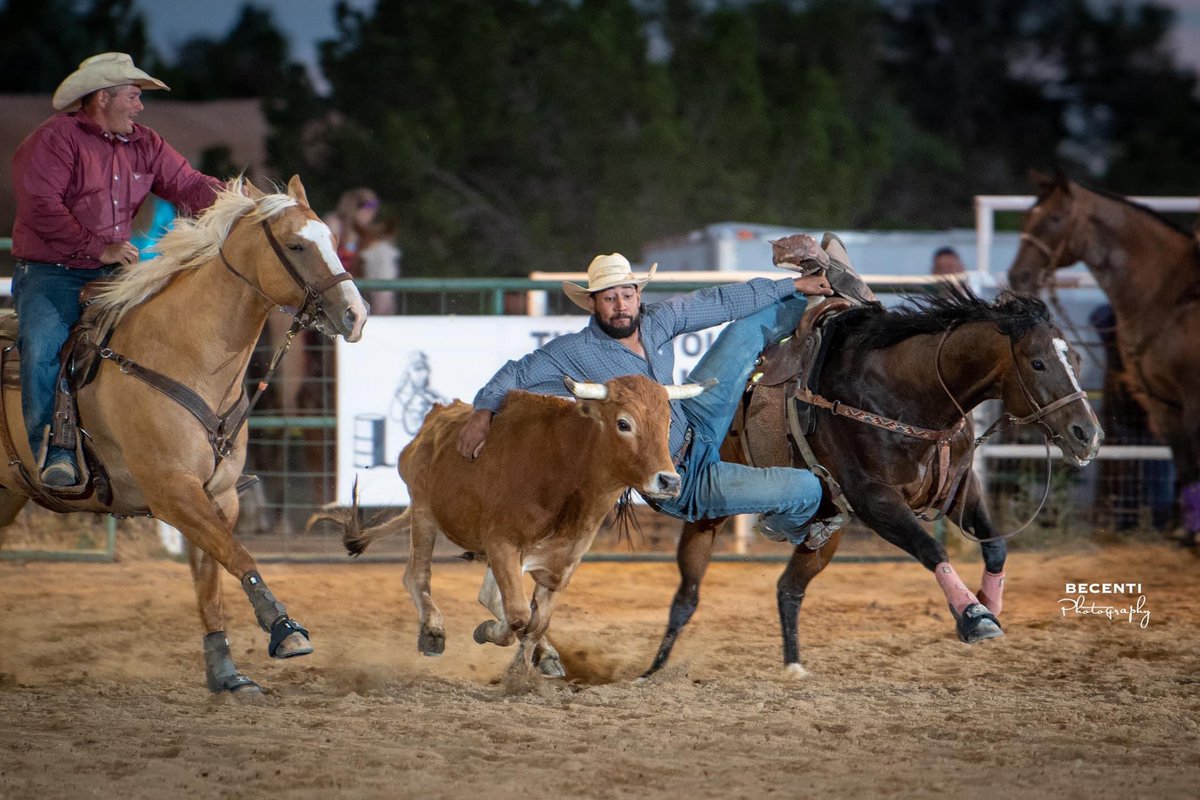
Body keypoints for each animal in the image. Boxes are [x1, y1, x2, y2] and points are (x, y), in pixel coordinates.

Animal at [0, 176, 368, 693]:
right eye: (297, 245)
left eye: (334, 241)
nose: (357, 314)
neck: (182, 354)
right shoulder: (172, 492)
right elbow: (238, 556)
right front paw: (285, 629)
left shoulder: (218, 495)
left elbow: (211, 578)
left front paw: (226, 674)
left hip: (9, 492)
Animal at [643, 287, 1102, 677]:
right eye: (1037, 362)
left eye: (1078, 361)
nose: (1089, 435)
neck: (906, 393)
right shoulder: (875, 500)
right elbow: (931, 548)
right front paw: (974, 617)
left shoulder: (958, 489)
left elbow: (995, 545)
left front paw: (988, 601)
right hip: (709, 509)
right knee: (687, 595)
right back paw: (653, 672)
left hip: (828, 529)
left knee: (788, 589)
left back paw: (793, 667)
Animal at [1006, 170, 1200, 548]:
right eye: (1027, 217)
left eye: (1055, 218)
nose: (1018, 275)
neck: (1171, 297)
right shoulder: (1162, 403)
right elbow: (1185, 466)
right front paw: (1185, 532)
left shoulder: (1192, 399)